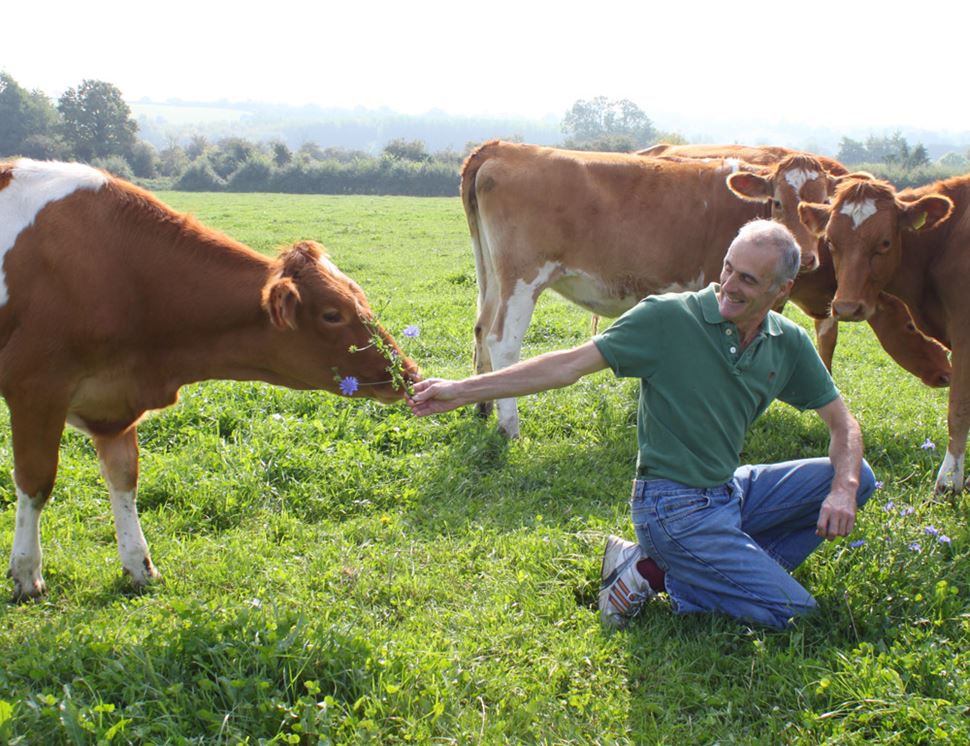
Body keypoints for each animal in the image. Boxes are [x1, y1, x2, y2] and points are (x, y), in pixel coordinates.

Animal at [460, 140, 832, 436]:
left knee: (480, 328)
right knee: (502, 340)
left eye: (825, 208)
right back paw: (509, 426)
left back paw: (483, 409)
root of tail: (504, 146)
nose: (806, 257)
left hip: (491, 276)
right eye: (779, 202)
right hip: (522, 278)